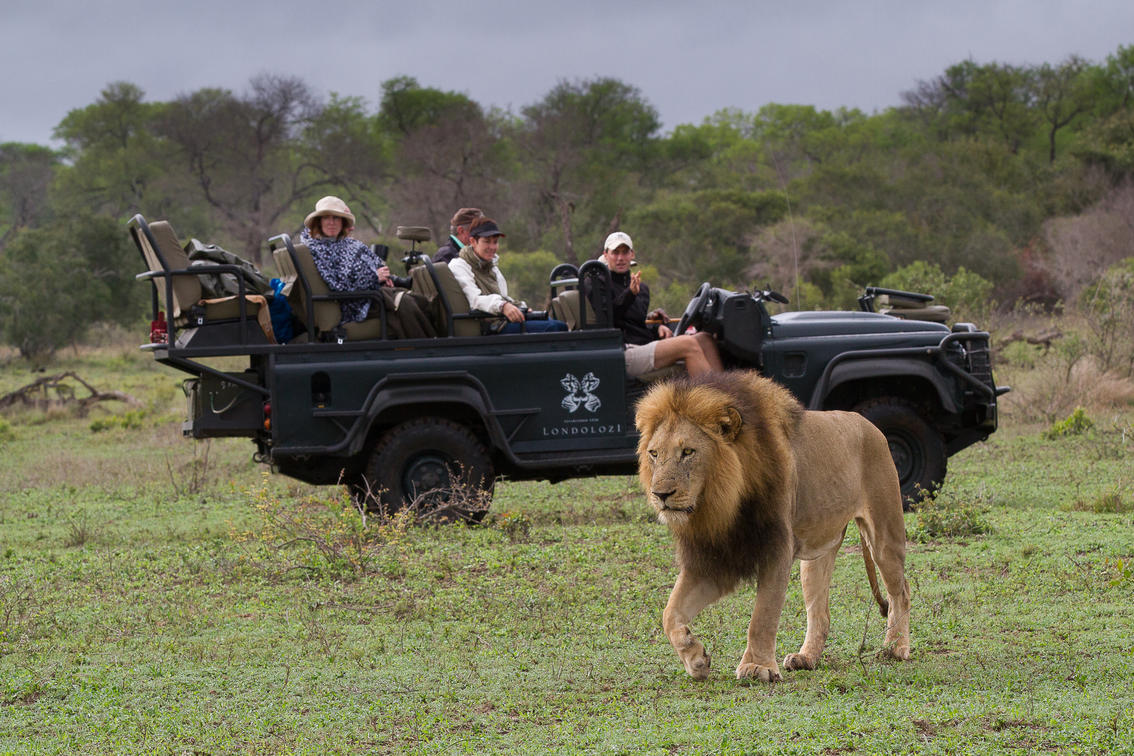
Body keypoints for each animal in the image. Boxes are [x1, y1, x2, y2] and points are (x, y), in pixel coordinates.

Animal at [639, 369, 911, 684]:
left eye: (688, 452)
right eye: (654, 453)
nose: (660, 494)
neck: (722, 504)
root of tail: (868, 423)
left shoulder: (776, 549)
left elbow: (763, 615)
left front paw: (757, 667)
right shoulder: (714, 560)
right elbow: (669, 613)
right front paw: (695, 657)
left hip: (884, 534)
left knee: (901, 591)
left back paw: (896, 647)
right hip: (817, 554)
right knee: (820, 612)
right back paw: (806, 658)